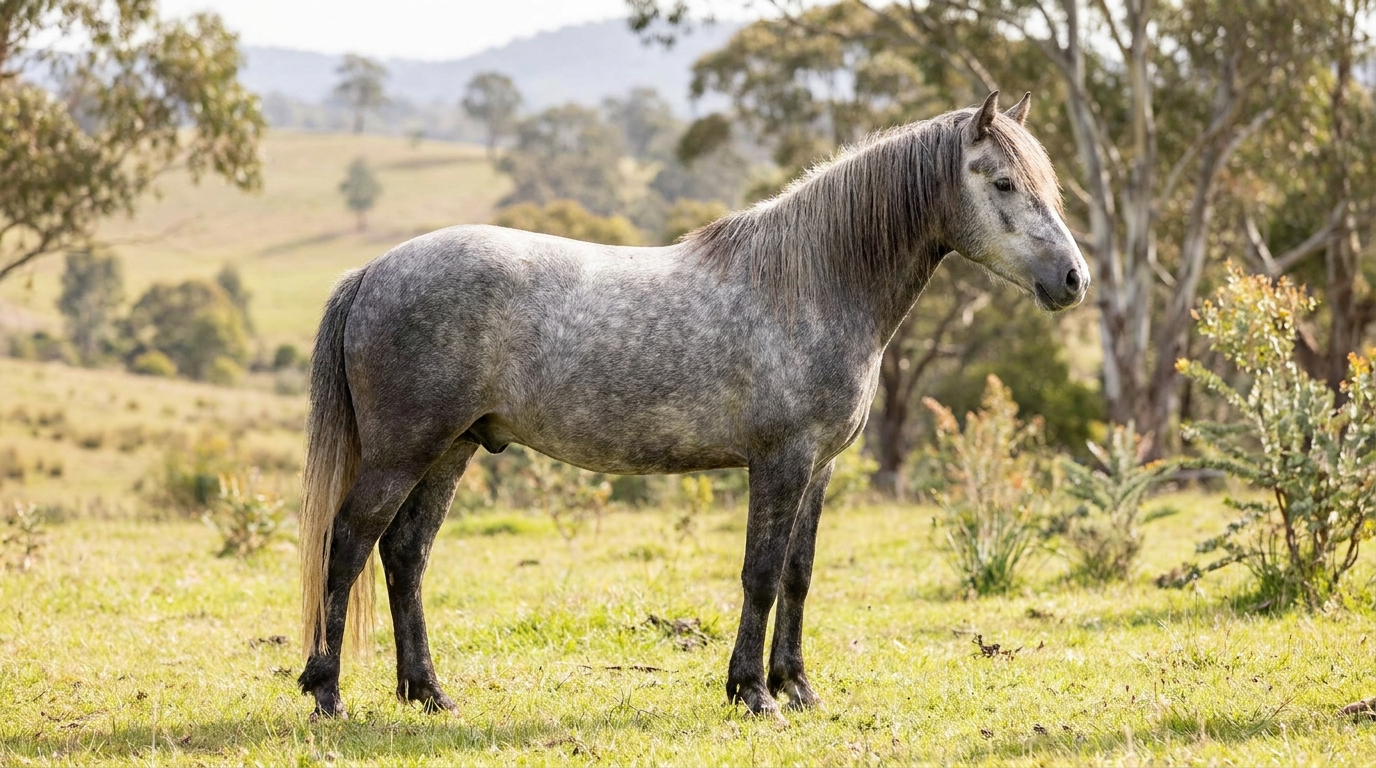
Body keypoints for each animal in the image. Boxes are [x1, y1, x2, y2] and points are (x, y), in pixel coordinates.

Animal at [296, 91, 1088, 721]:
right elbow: (760, 573)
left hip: (451, 449)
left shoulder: (820, 466)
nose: (1074, 280)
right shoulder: (780, 461)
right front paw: (753, 693)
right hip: (404, 452)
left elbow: (798, 574)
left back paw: (428, 692)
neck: (810, 283)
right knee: (350, 543)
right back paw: (327, 691)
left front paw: (797, 687)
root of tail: (372, 272)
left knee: (405, 555)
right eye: (1005, 181)